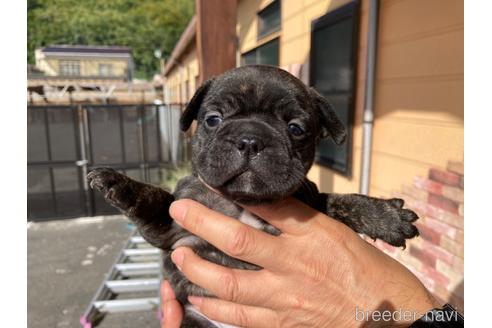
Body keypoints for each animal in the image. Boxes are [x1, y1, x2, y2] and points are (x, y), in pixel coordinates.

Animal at [86, 65, 418, 326]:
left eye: (296, 128)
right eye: (213, 120)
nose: (250, 139)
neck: (244, 203)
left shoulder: (312, 202)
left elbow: (339, 201)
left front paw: (385, 216)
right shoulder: (174, 231)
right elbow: (153, 199)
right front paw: (116, 182)